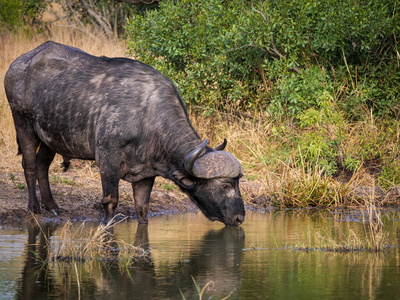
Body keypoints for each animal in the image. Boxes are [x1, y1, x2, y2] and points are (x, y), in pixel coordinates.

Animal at [4, 41, 245, 225]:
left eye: (238, 183)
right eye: (225, 185)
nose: (240, 218)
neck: (147, 117)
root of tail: (17, 64)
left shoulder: (146, 175)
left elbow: (142, 208)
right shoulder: (107, 163)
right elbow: (110, 202)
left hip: (50, 138)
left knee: (42, 165)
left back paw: (52, 206)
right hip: (22, 122)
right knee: (29, 165)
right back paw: (34, 207)